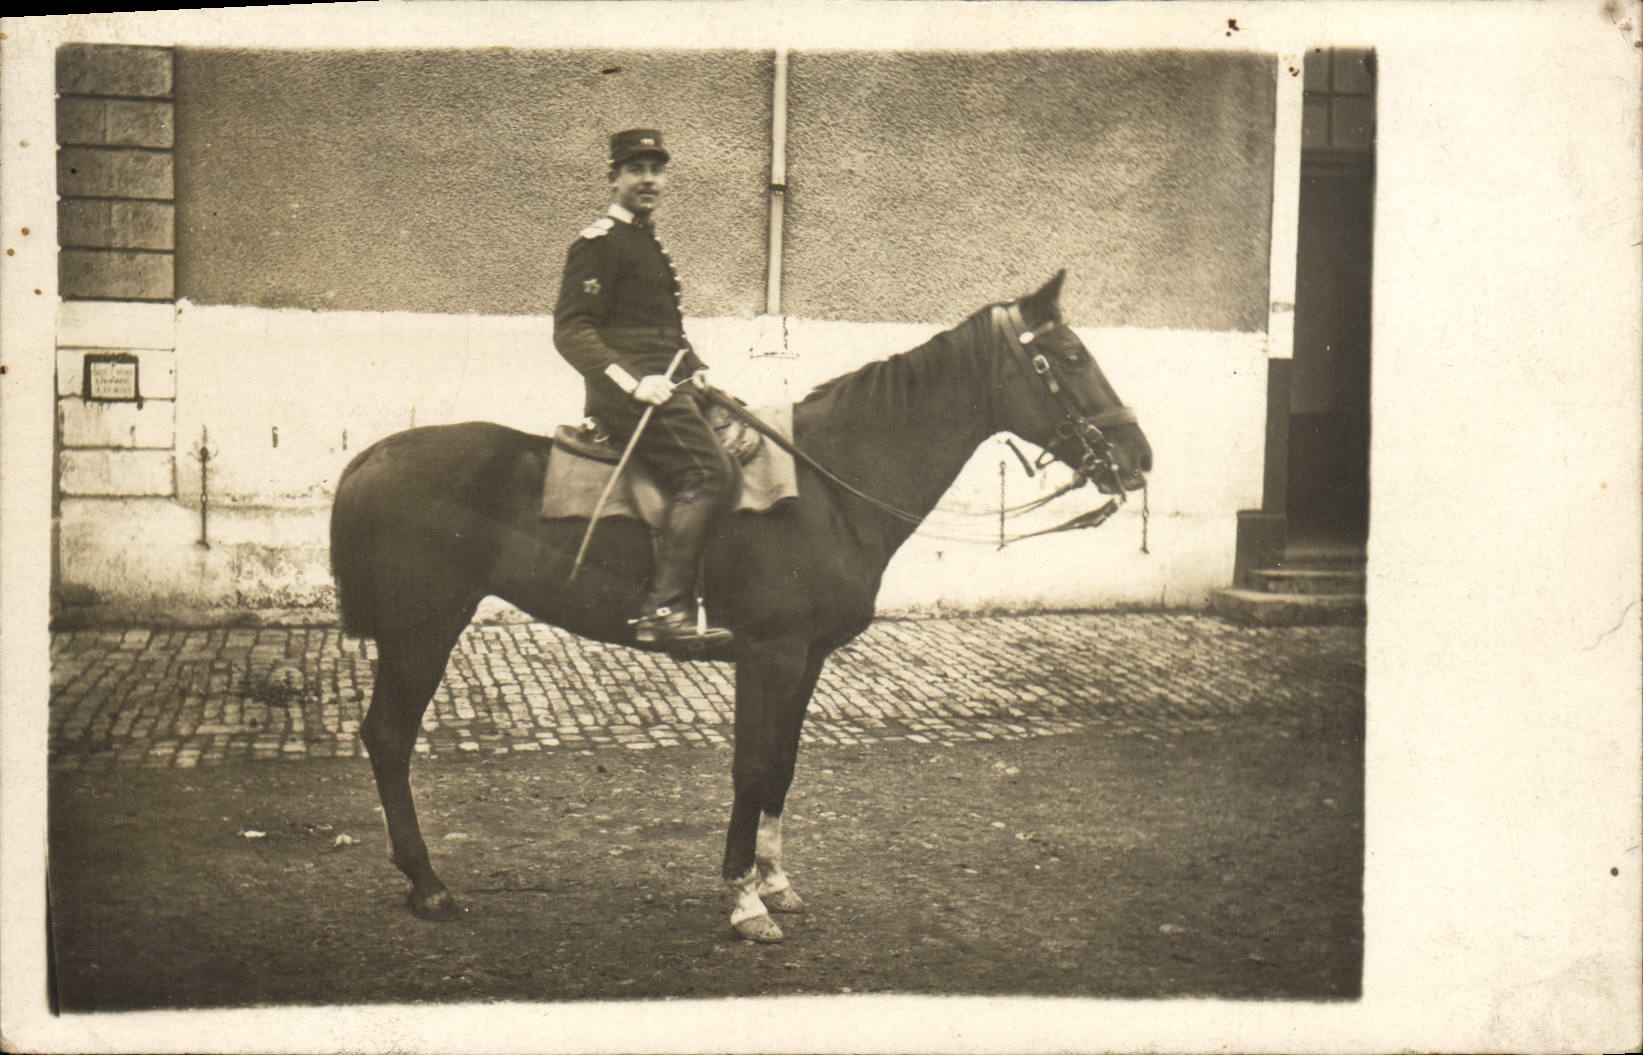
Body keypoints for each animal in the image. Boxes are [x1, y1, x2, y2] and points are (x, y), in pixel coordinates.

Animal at [328, 270, 1152, 942]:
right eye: (1070, 358)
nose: (1137, 458)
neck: (829, 486)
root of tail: (375, 454)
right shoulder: (769, 652)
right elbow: (751, 766)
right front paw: (743, 898)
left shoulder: (805, 659)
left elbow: (781, 764)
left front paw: (775, 881)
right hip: (423, 629)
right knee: (389, 738)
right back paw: (427, 884)